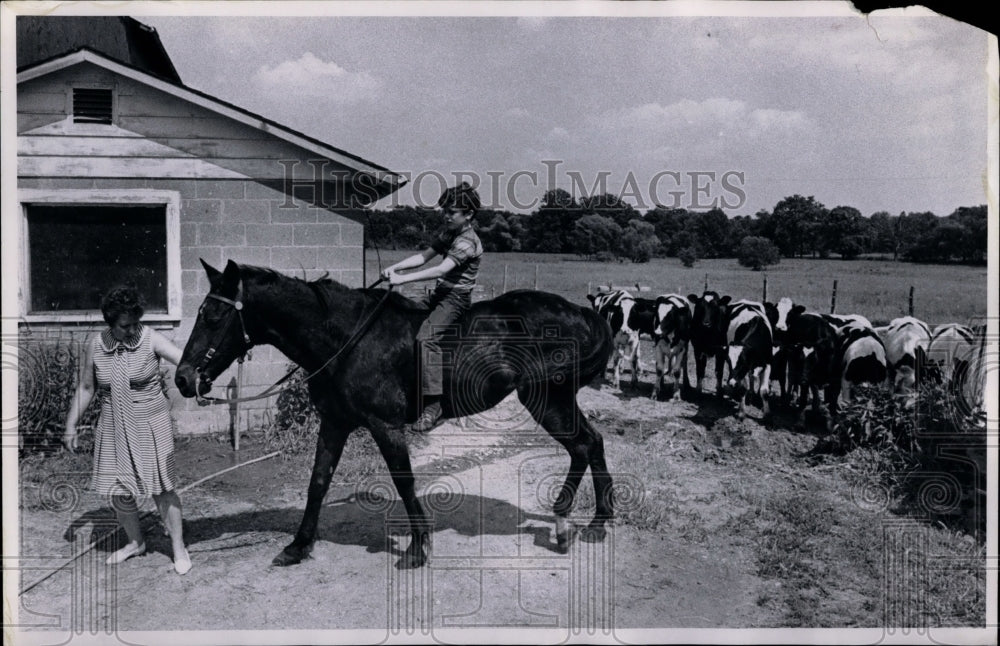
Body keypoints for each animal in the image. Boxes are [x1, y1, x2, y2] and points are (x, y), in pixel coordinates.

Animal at [176, 260, 612, 568]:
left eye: (212, 316)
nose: (183, 378)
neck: (348, 339)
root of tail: (580, 312)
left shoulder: (385, 426)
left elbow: (404, 482)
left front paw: (419, 547)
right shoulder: (335, 423)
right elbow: (318, 482)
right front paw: (298, 546)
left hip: (548, 400)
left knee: (584, 445)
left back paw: (577, 523)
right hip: (554, 401)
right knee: (589, 445)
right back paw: (583, 524)